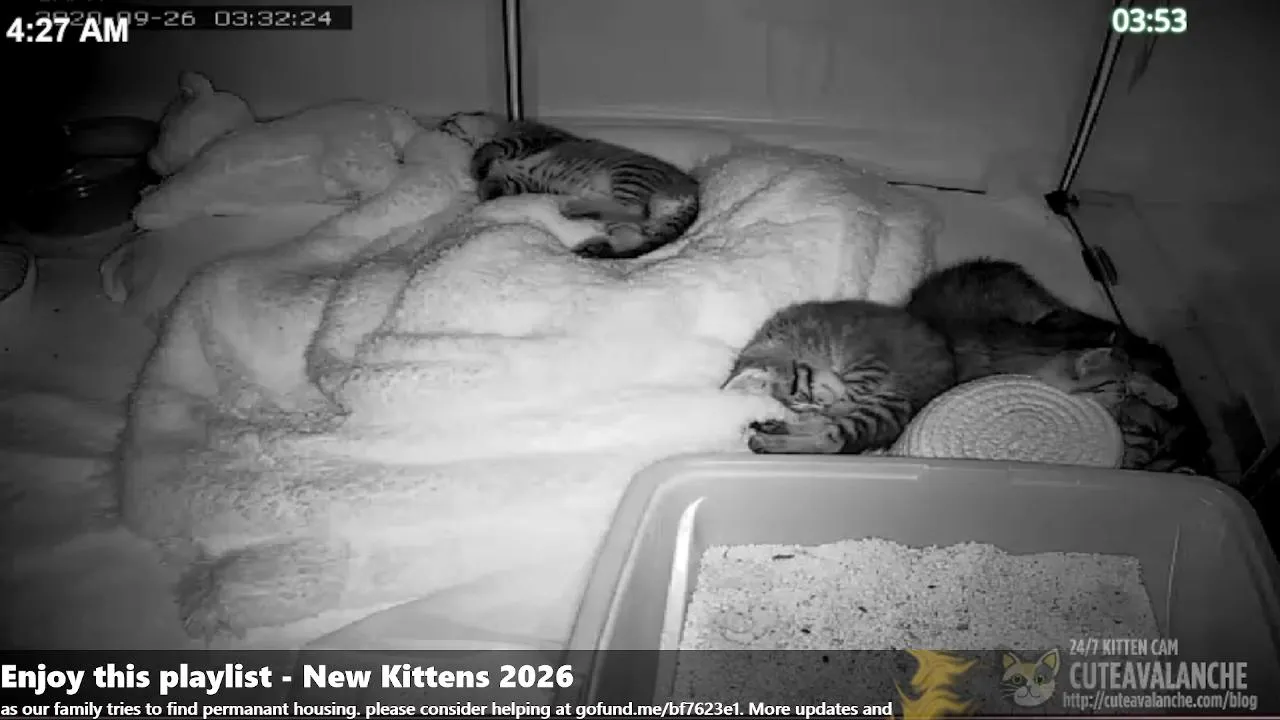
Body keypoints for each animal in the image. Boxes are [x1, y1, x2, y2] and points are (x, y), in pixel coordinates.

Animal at [438, 111, 700, 260]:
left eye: (451, 119)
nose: (439, 124)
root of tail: (692, 191)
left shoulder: (527, 140)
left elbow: (492, 148)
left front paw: (478, 167)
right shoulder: (518, 181)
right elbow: (496, 185)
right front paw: (484, 187)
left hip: (629, 173)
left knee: (635, 210)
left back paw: (573, 209)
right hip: (624, 216)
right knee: (633, 235)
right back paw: (596, 245)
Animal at [722, 300, 957, 455]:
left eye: (804, 395)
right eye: (802, 403)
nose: (820, 406)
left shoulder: (870, 363)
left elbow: (845, 400)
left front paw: (830, 408)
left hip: (890, 400)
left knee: (831, 440)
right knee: (830, 435)